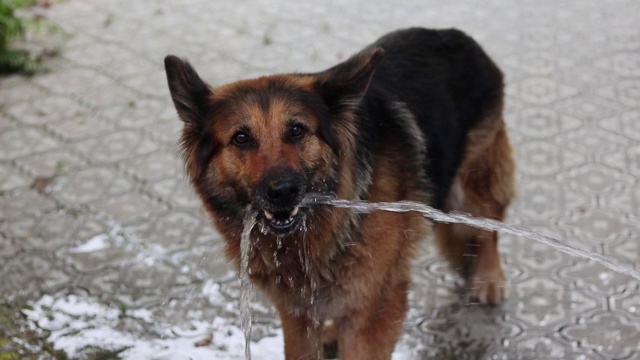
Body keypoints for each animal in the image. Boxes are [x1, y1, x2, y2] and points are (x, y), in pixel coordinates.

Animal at [165, 28, 516, 360]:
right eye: (240, 138)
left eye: (297, 130)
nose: (283, 192)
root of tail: (455, 34)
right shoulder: (296, 315)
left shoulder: (373, 312)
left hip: (470, 189)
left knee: (490, 227)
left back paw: (489, 278)